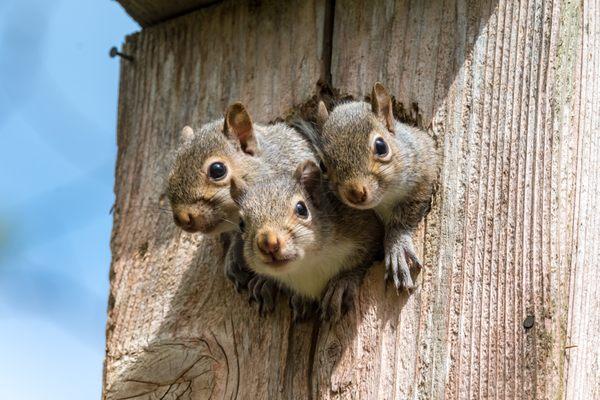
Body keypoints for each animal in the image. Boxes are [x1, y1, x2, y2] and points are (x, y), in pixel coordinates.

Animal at [230, 159, 384, 322]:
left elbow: (365, 259)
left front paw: (342, 284)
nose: (268, 244)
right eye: (241, 223)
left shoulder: (365, 228)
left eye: (301, 209)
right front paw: (267, 284)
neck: (308, 265)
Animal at [312, 83, 438, 290]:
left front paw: (396, 246)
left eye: (381, 146)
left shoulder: (425, 167)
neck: (384, 200)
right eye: (323, 165)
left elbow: (406, 214)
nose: (355, 193)